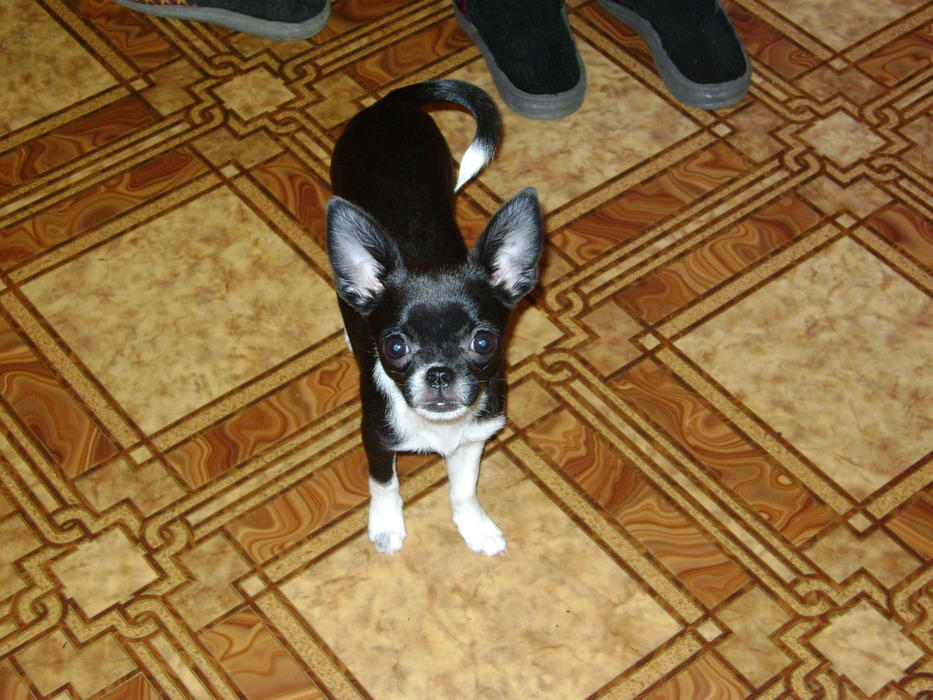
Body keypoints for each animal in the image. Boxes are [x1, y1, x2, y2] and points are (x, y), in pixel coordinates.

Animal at [326, 80, 543, 556]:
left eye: (483, 342)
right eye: (394, 346)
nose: (440, 373)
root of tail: (391, 105)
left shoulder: (473, 440)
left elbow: (463, 490)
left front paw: (475, 527)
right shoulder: (376, 438)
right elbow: (384, 483)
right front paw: (386, 527)